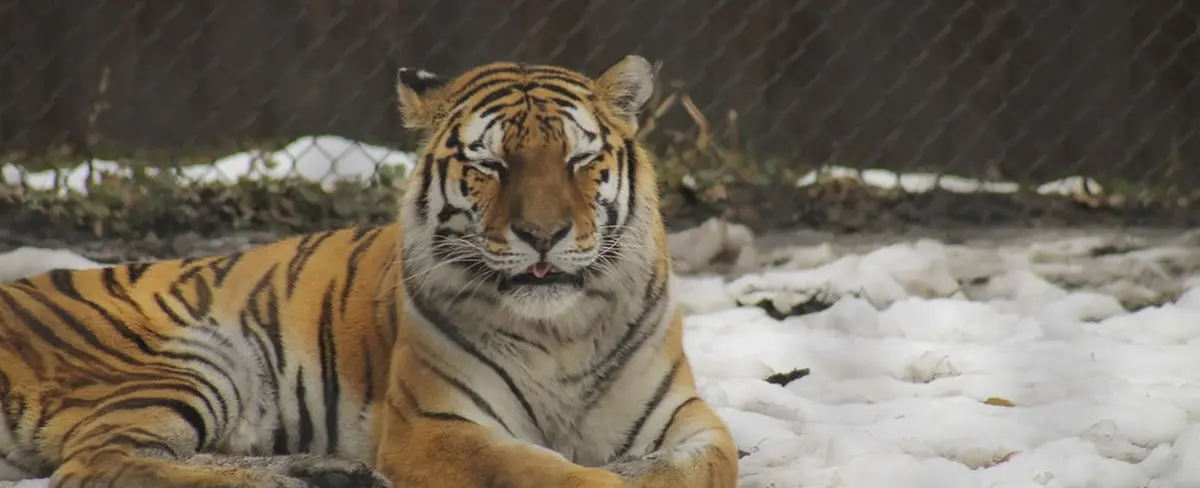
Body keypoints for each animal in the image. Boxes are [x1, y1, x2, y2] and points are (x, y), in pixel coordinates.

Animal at [0, 55, 739, 488]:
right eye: (491, 164)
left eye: (579, 161)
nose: (542, 235)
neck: (562, 332)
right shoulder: (437, 426)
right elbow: (550, 474)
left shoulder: (690, 420)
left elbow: (702, 467)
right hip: (191, 363)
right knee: (102, 464)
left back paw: (330, 474)